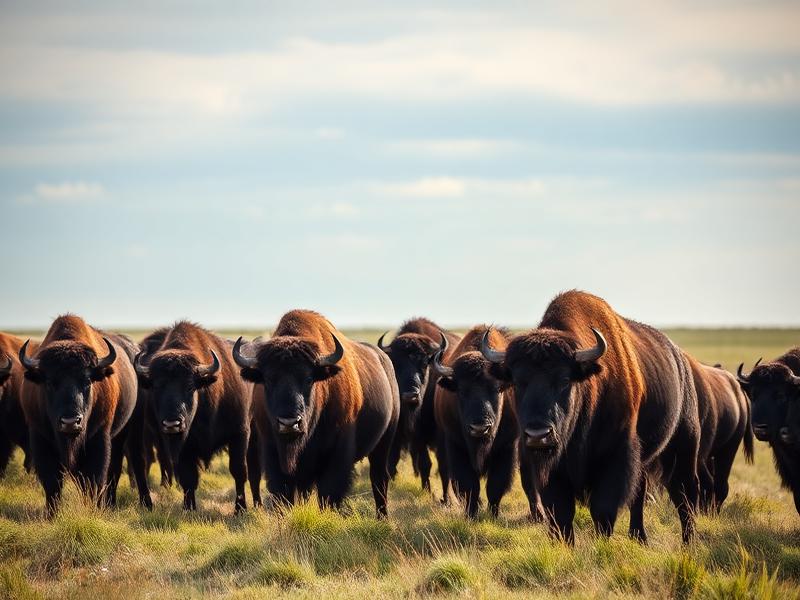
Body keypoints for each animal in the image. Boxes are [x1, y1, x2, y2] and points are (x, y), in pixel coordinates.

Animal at [19, 315, 150, 513]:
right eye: (49, 382)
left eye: (87, 381)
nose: (70, 422)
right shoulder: (39, 437)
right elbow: (52, 481)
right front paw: (51, 514)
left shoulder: (99, 437)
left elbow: (93, 478)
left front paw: (93, 510)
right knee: (115, 467)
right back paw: (110, 504)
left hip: (134, 426)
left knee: (136, 461)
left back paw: (146, 504)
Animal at [134, 321, 260, 512]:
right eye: (156, 387)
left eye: (189, 386)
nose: (172, 424)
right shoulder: (183, 446)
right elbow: (188, 477)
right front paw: (189, 507)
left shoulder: (240, 434)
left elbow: (238, 470)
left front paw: (240, 509)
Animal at [233, 310, 399, 517]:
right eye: (268, 379)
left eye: (309, 378)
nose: (289, 423)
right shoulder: (273, 452)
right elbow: (284, 493)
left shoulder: (337, 455)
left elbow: (328, 493)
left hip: (385, 440)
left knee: (379, 478)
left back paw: (382, 517)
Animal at [378, 318, 460, 501]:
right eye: (396, 363)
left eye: (424, 363)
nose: (410, 395)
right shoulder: (415, 435)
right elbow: (423, 463)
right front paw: (427, 491)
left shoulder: (441, 435)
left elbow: (444, 466)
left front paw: (446, 499)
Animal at [481, 291, 700, 543]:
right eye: (516, 382)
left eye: (565, 380)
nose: (538, 434)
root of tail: (680, 359)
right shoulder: (552, 469)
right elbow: (561, 514)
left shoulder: (615, 456)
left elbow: (603, 511)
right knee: (641, 493)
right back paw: (639, 537)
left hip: (683, 446)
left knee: (684, 494)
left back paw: (688, 543)